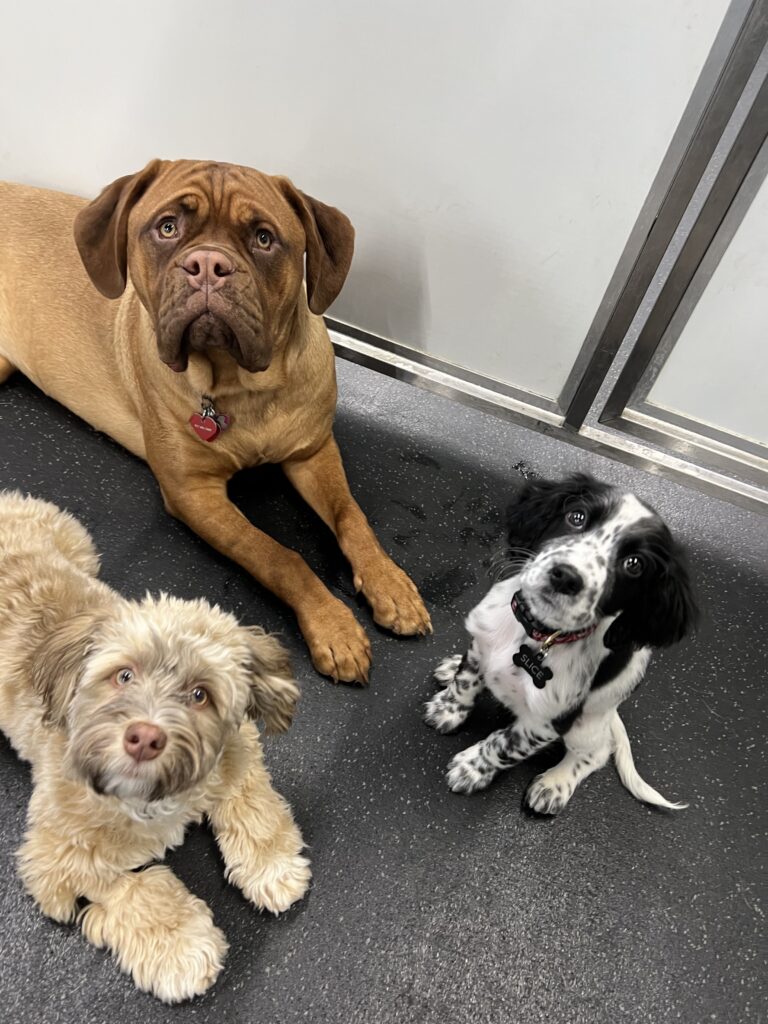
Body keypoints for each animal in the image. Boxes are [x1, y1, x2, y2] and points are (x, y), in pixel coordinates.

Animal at [0, 163, 430, 684]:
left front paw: (390, 583)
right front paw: (332, 623)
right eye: (167, 227)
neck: (241, 387)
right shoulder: (194, 493)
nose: (207, 264)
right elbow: (277, 556)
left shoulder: (312, 451)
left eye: (264, 238)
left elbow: (351, 516)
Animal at [0, 489, 309, 999]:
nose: (145, 738)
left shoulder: (237, 757)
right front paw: (180, 948)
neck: (158, 798)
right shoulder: (56, 858)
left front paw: (273, 866)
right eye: (124, 675)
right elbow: (137, 890)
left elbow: (255, 810)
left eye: (200, 694)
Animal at [423, 473, 700, 815]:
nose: (566, 577)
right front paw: (449, 710)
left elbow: (504, 745)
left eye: (634, 564)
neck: (539, 636)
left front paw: (473, 768)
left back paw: (555, 783)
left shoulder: (547, 722)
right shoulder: (481, 640)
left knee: (597, 753)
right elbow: (466, 682)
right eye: (576, 517)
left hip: (586, 728)